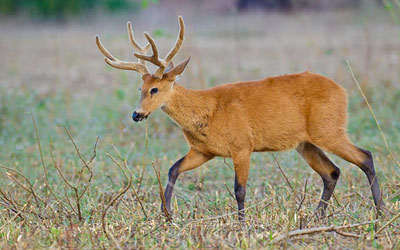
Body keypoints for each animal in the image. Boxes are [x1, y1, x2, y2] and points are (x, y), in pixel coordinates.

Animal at [94, 15, 384, 221]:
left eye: (154, 89)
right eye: (140, 89)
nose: (137, 114)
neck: (206, 111)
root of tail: (343, 91)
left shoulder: (243, 145)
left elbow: (239, 189)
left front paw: (242, 224)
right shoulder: (203, 150)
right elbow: (173, 168)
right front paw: (167, 215)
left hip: (329, 129)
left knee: (365, 156)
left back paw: (380, 211)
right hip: (305, 142)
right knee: (332, 172)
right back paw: (317, 217)